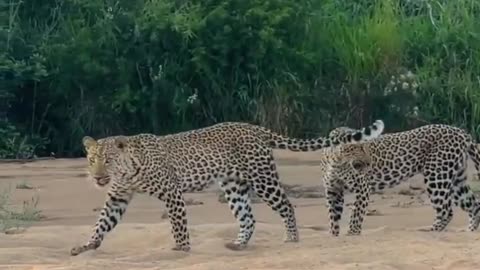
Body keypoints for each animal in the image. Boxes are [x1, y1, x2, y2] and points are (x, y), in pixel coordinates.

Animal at [69, 119, 384, 255]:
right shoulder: (117, 197)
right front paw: (88, 245)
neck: (130, 171)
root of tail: (254, 127)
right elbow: (102, 222)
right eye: (92, 160)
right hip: (234, 186)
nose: (97, 176)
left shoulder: (172, 193)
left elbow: (178, 224)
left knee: (286, 205)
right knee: (248, 217)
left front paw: (181, 248)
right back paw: (238, 244)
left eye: (108, 160)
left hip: (263, 177)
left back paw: (292, 238)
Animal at [318, 123, 480, 236]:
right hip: (456, 180)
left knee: (446, 211)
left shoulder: (362, 188)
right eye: (356, 147)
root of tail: (461, 131)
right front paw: (334, 235)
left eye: (367, 146)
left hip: (437, 175)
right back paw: (469, 232)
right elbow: (333, 216)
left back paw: (430, 231)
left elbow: (356, 213)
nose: (369, 163)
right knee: (474, 205)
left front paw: (352, 233)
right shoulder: (333, 190)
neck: (336, 162)